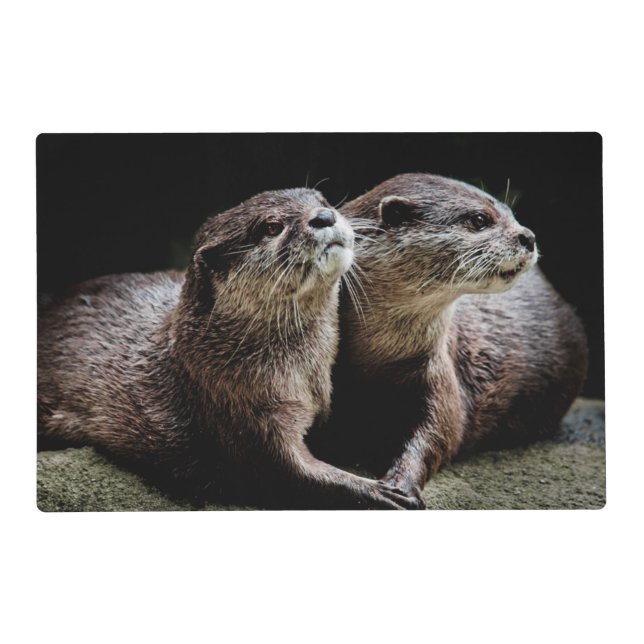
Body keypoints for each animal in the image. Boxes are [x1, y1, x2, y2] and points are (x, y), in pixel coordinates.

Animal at [37, 188, 420, 509]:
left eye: (322, 199)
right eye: (271, 227)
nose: (324, 216)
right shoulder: (239, 408)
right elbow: (287, 474)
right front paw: (380, 491)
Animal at [308, 174, 588, 508]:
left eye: (511, 213)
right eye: (480, 219)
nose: (528, 237)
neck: (376, 359)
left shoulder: (440, 371)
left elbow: (440, 433)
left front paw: (401, 485)